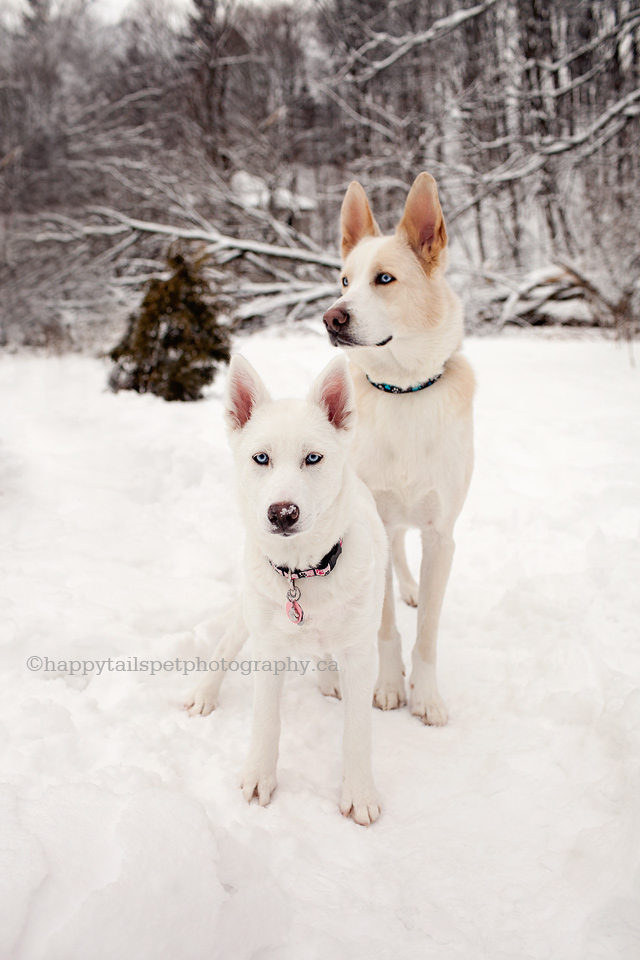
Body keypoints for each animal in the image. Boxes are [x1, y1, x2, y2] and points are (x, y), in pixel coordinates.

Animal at [194, 354, 384, 824]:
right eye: (261, 458)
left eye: (313, 458)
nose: (282, 513)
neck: (302, 574)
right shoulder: (268, 648)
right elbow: (266, 720)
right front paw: (259, 776)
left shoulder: (361, 653)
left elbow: (357, 731)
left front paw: (360, 793)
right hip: (247, 617)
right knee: (224, 645)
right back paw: (203, 693)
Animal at [322, 174, 472, 728]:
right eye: (345, 281)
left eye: (384, 279)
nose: (332, 318)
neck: (403, 389)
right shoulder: (378, 527)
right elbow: (386, 628)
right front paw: (388, 686)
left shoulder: (442, 536)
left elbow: (427, 632)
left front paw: (425, 696)